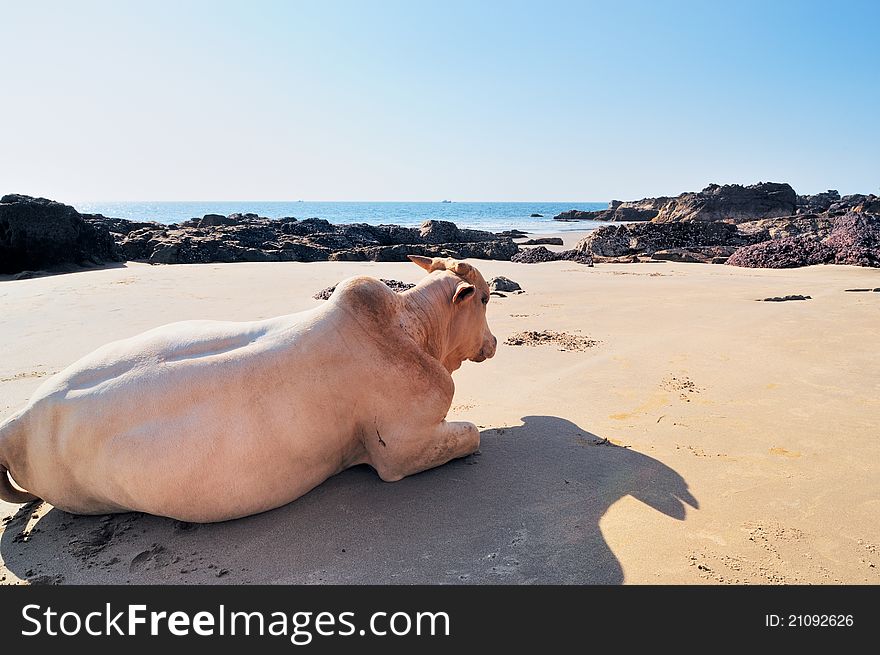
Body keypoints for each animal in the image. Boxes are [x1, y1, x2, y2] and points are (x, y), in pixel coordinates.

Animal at [0, 255, 496, 524]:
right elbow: (471, 434)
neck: (409, 328)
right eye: (487, 298)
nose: (492, 343)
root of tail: (16, 425)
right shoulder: (402, 450)